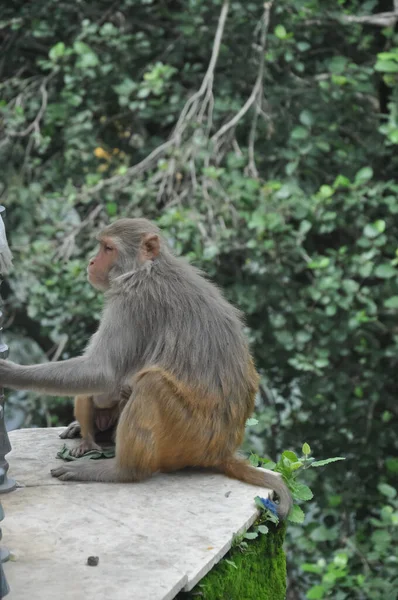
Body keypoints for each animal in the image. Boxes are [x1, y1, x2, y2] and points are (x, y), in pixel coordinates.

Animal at [0, 218, 292, 516]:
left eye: (107, 248)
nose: (92, 261)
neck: (146, 269)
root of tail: (222, 452)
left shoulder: (132, 300)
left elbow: (103, 371)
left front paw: (10, 373)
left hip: (191, 437)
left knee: (151, 384)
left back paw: (121, 470)